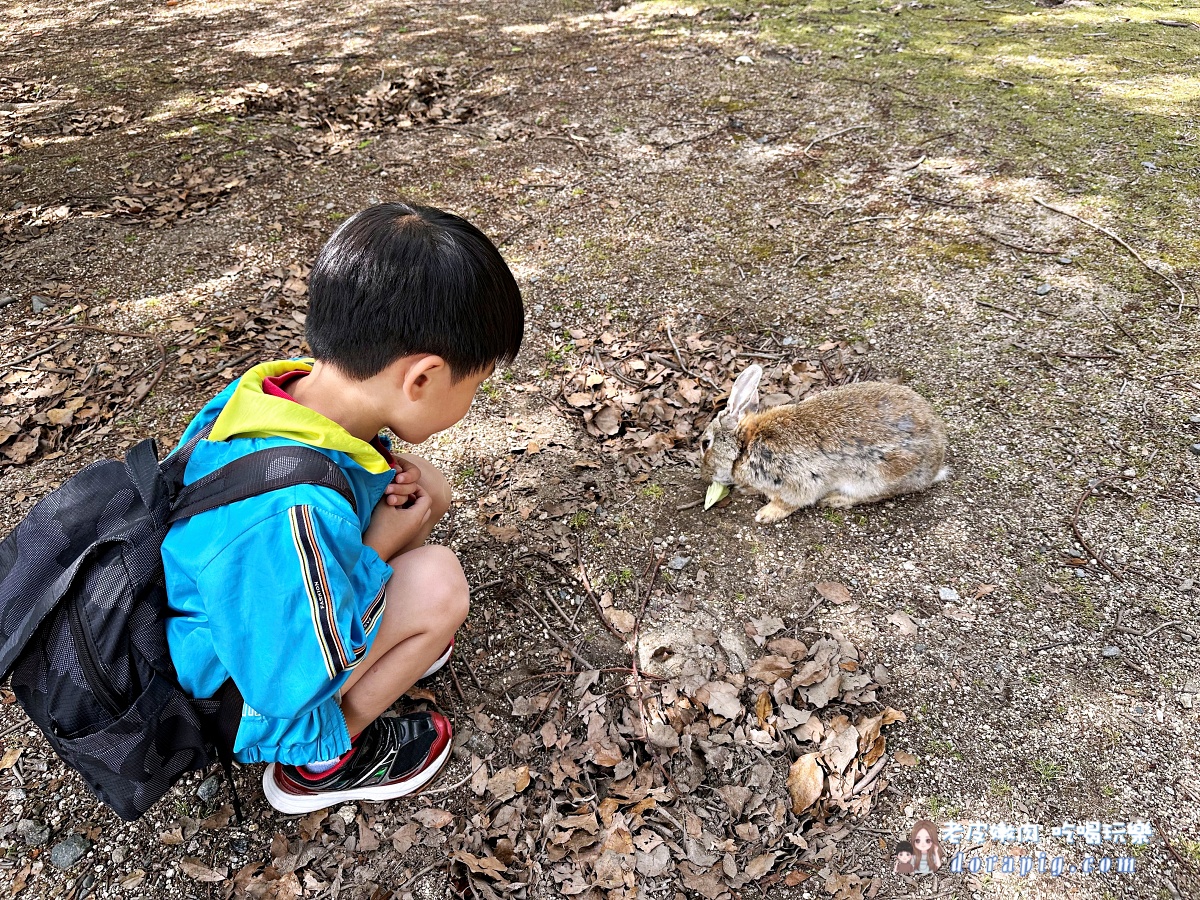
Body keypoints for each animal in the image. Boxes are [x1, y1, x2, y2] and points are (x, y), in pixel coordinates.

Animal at [700, 364, 945, 525]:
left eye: (705, 443)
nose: (705, 475)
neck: (745, 445)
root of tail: (936, 466)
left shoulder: (797, 482)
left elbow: (789, 503)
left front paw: (765, 514)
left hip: (874, 478)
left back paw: (834, 500)